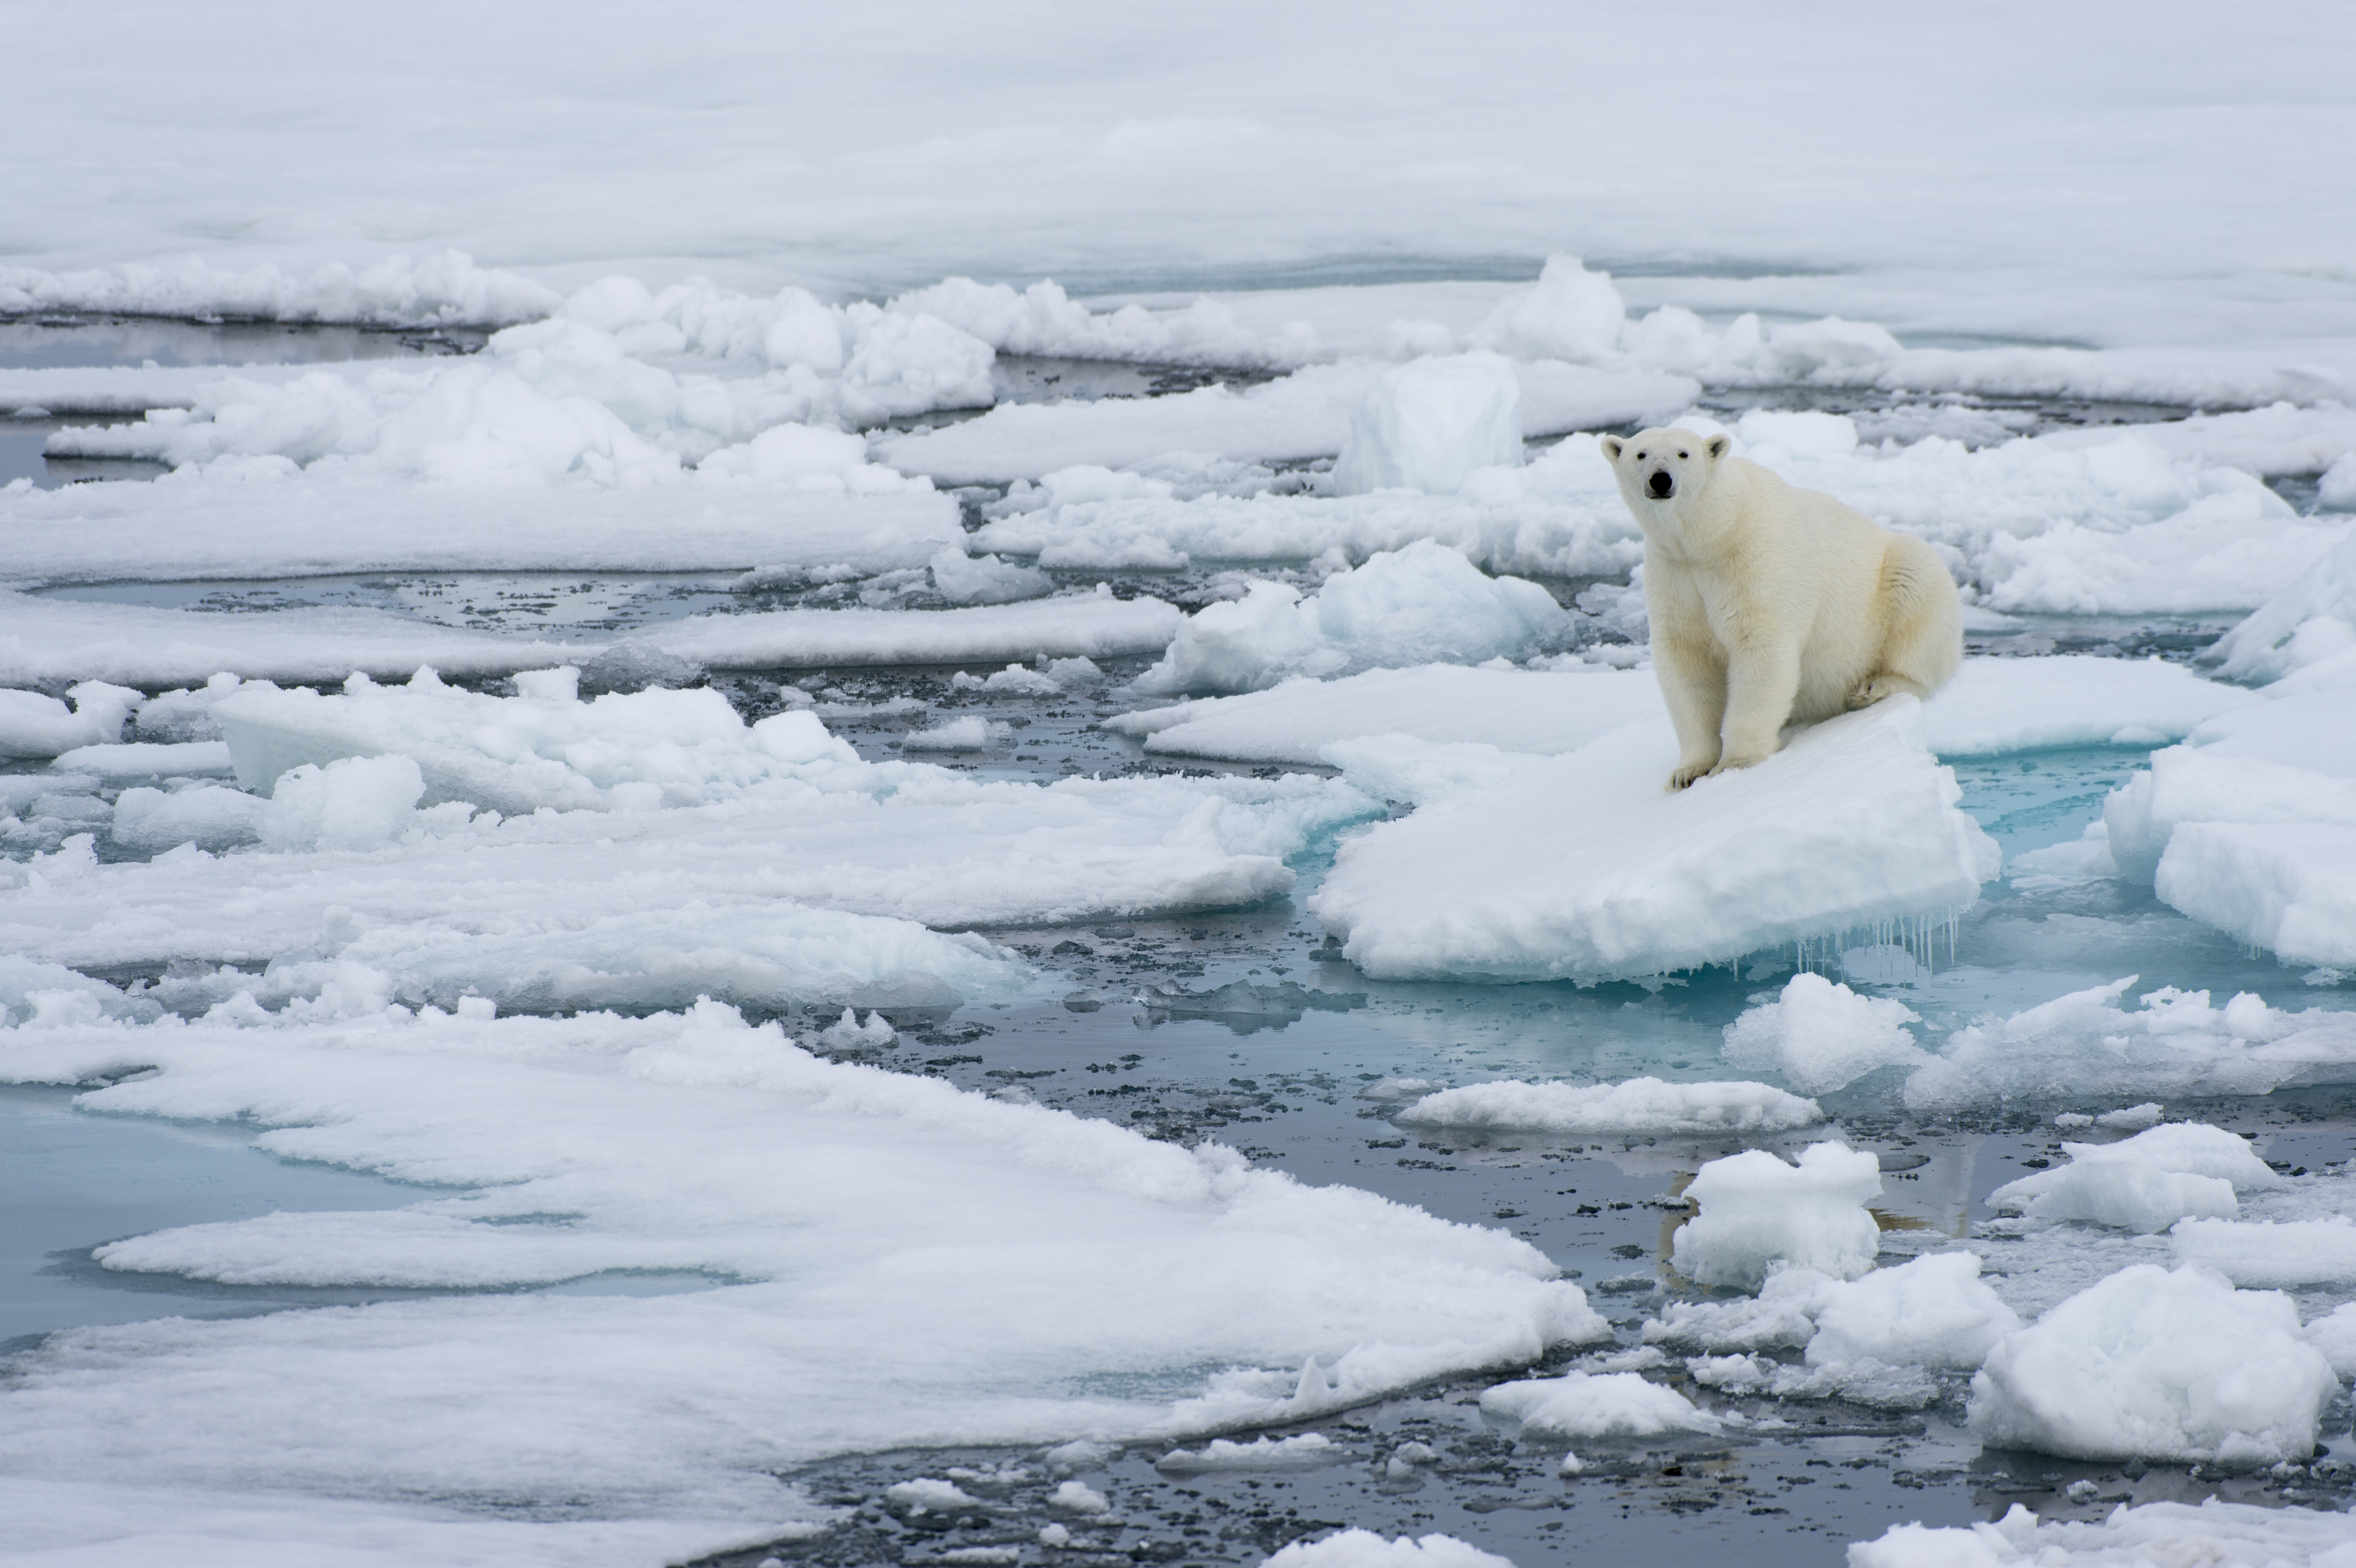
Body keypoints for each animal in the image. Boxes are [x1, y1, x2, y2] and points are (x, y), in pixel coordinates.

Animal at [1599, 426, 1962, 790]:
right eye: (1641, 454)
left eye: (1683, 454)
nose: (1661, 480)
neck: (1709, 536)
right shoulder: (1675, 574)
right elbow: (1686, 660)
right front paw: (1688, 772)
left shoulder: (1752, 560)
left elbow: (1759, 647)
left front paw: (1736, 763)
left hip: (1893, 582)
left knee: (1917, 598)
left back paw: (1875, 687)